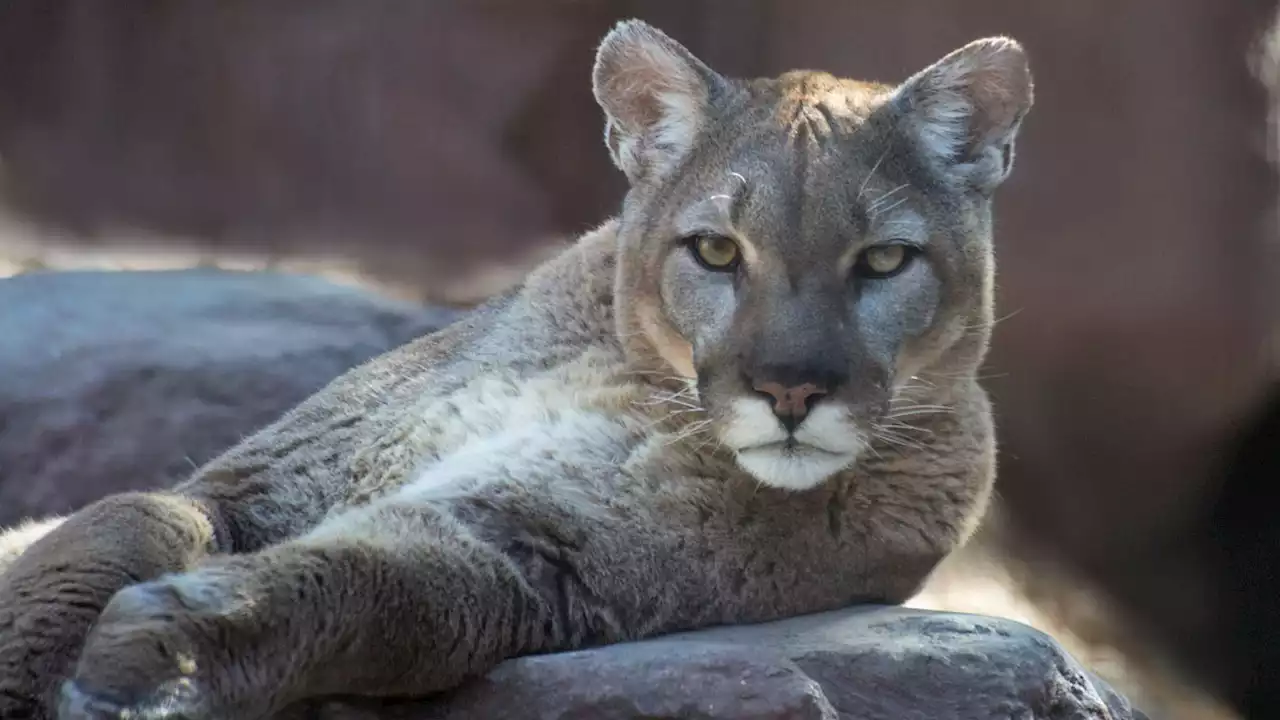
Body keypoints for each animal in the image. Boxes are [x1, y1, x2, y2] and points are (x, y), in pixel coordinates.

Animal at [0, 18, 1029, 717]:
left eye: (885, 261)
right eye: (717, 251)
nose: (791, 389)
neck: (614, 365)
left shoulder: (536, 549)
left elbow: (372, 588)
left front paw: (160, 658)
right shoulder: (263, 477)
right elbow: (121, 526)